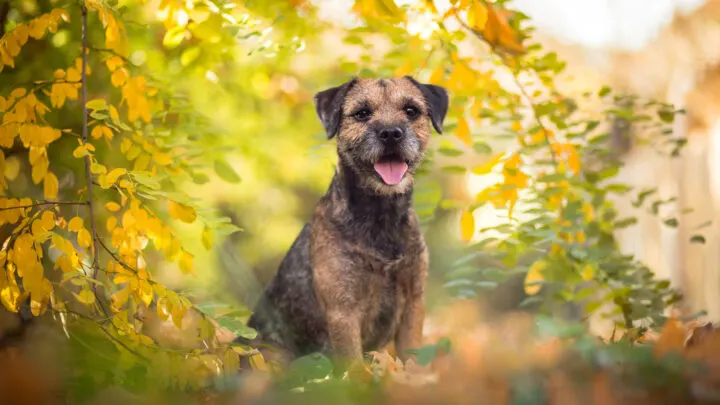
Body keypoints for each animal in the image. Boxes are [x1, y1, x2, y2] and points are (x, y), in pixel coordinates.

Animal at [242, 76, 450, 372]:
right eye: (362, 113)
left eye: (411, 110)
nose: (391, 133)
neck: (380, 216)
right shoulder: (343, 311)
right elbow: (355, 367)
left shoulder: (413, 301)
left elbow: (411, 357)